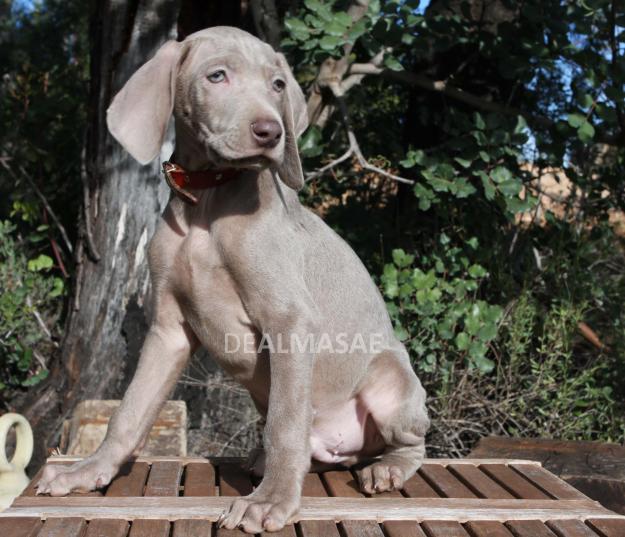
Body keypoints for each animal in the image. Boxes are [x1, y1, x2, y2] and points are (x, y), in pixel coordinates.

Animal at [35, 26, 428, 532]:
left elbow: (284, 422)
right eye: (217, 76)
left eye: (277, 85)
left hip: (390, 382)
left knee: (409, 441)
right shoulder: (168, 331)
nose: (271, 132)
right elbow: (129, 412)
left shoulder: (289, 321)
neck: (207, 199)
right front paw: (87, 472)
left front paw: (272, 502)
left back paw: (386, 470)